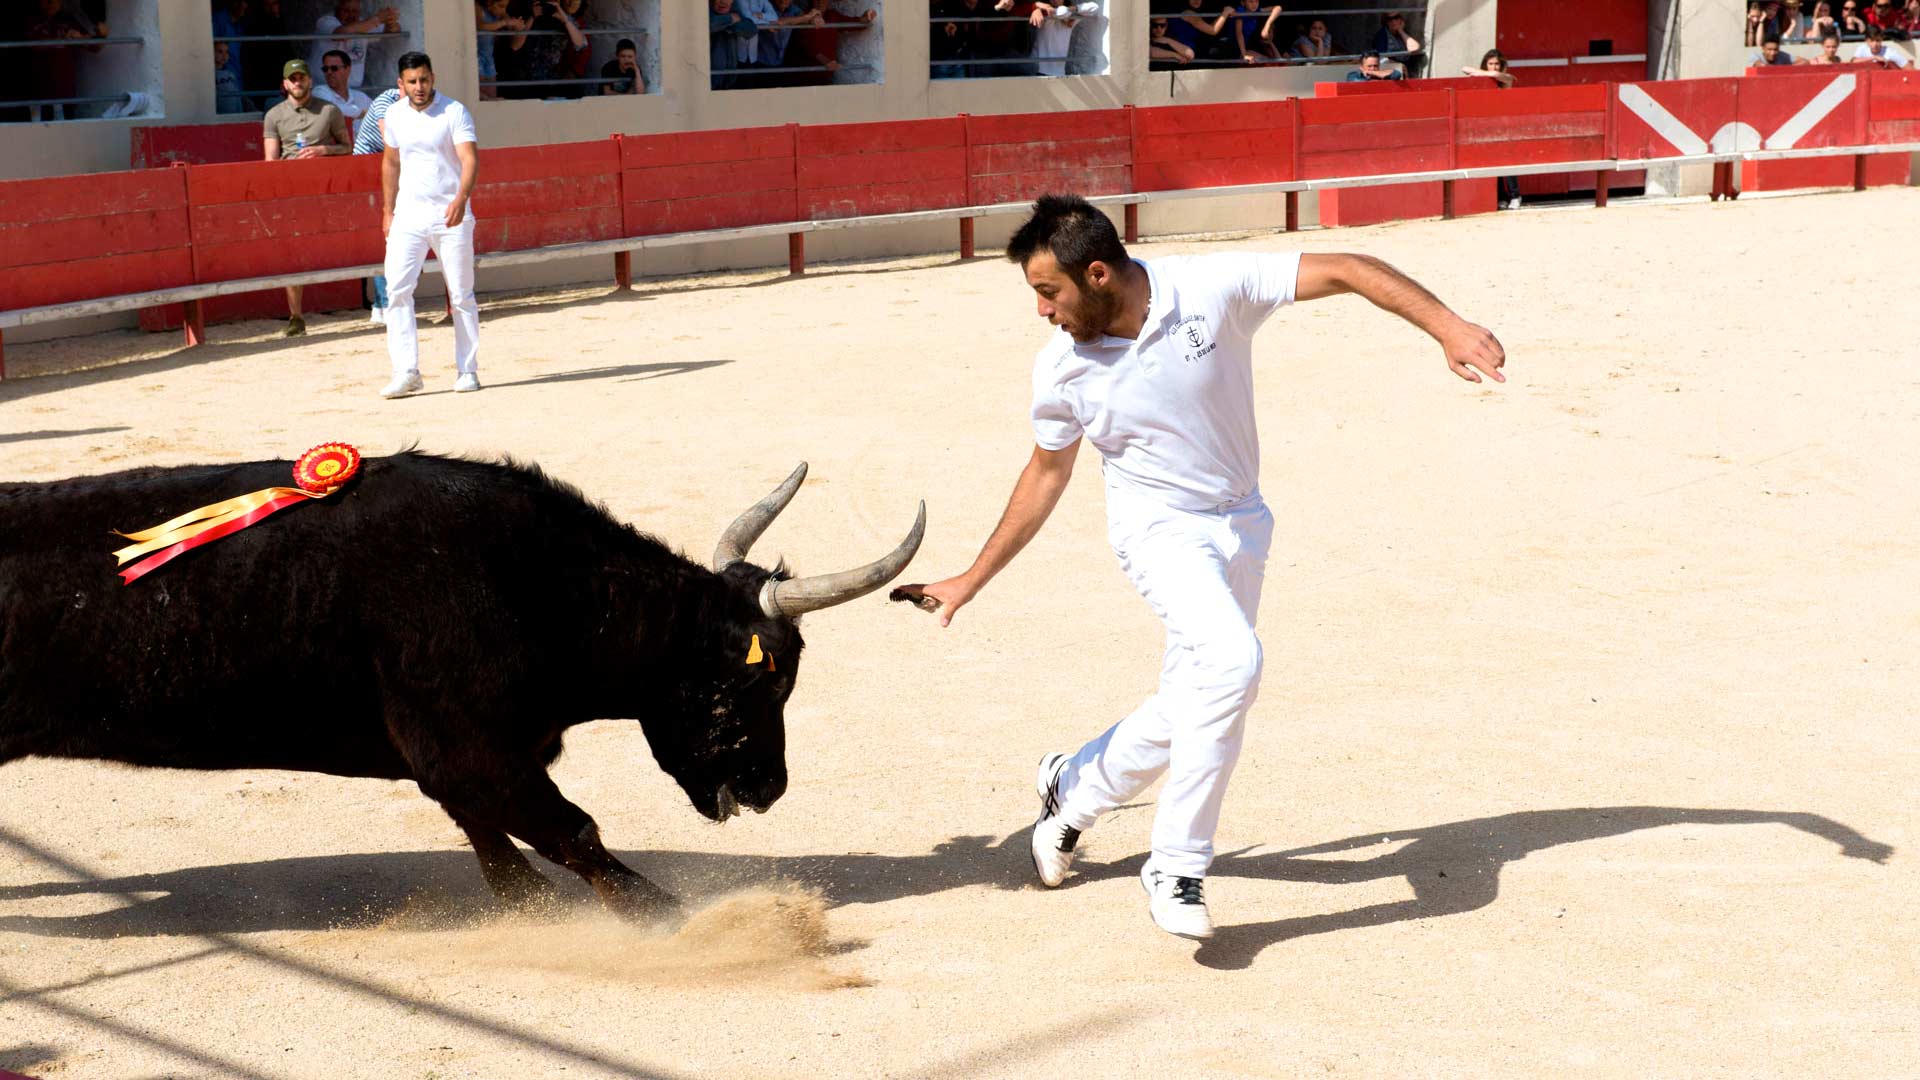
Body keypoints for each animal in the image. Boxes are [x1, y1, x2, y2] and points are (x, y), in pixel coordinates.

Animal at [0, 449, 921, 910]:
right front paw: (673, 919)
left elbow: (494, 840)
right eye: (766, 681)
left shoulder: (462, 758)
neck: (535, 582)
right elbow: (573, 832)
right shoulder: (471, 748)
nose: (769, 787)